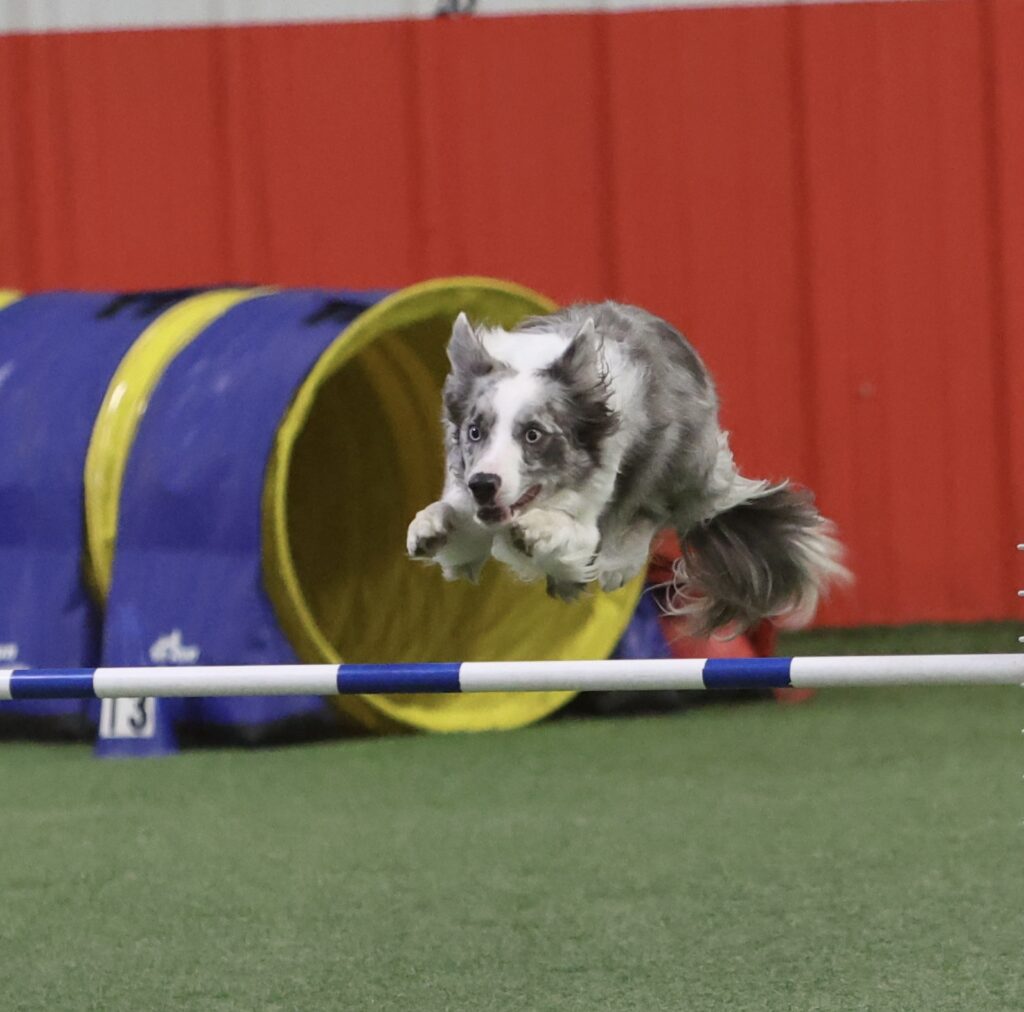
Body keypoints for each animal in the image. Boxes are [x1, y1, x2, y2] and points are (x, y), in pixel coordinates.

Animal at [407, 303, 847, 630]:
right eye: (475, 431)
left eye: (533, 434)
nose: (483, 483)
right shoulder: (467, 504)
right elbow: (455, 525)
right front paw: (427, 527)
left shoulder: (588, 521)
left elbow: (570, 531)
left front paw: (538, 529)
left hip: (675, 469)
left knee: (651, 513)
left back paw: (617, 564)